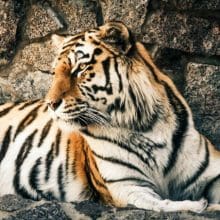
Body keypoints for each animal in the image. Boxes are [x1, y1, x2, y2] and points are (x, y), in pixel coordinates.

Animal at [0, 21, 220, 212]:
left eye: (80, 69)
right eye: (54, 73)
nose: (50, 104)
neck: (146, 126)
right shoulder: (127, 186)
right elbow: (161, 204)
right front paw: (199, 205)